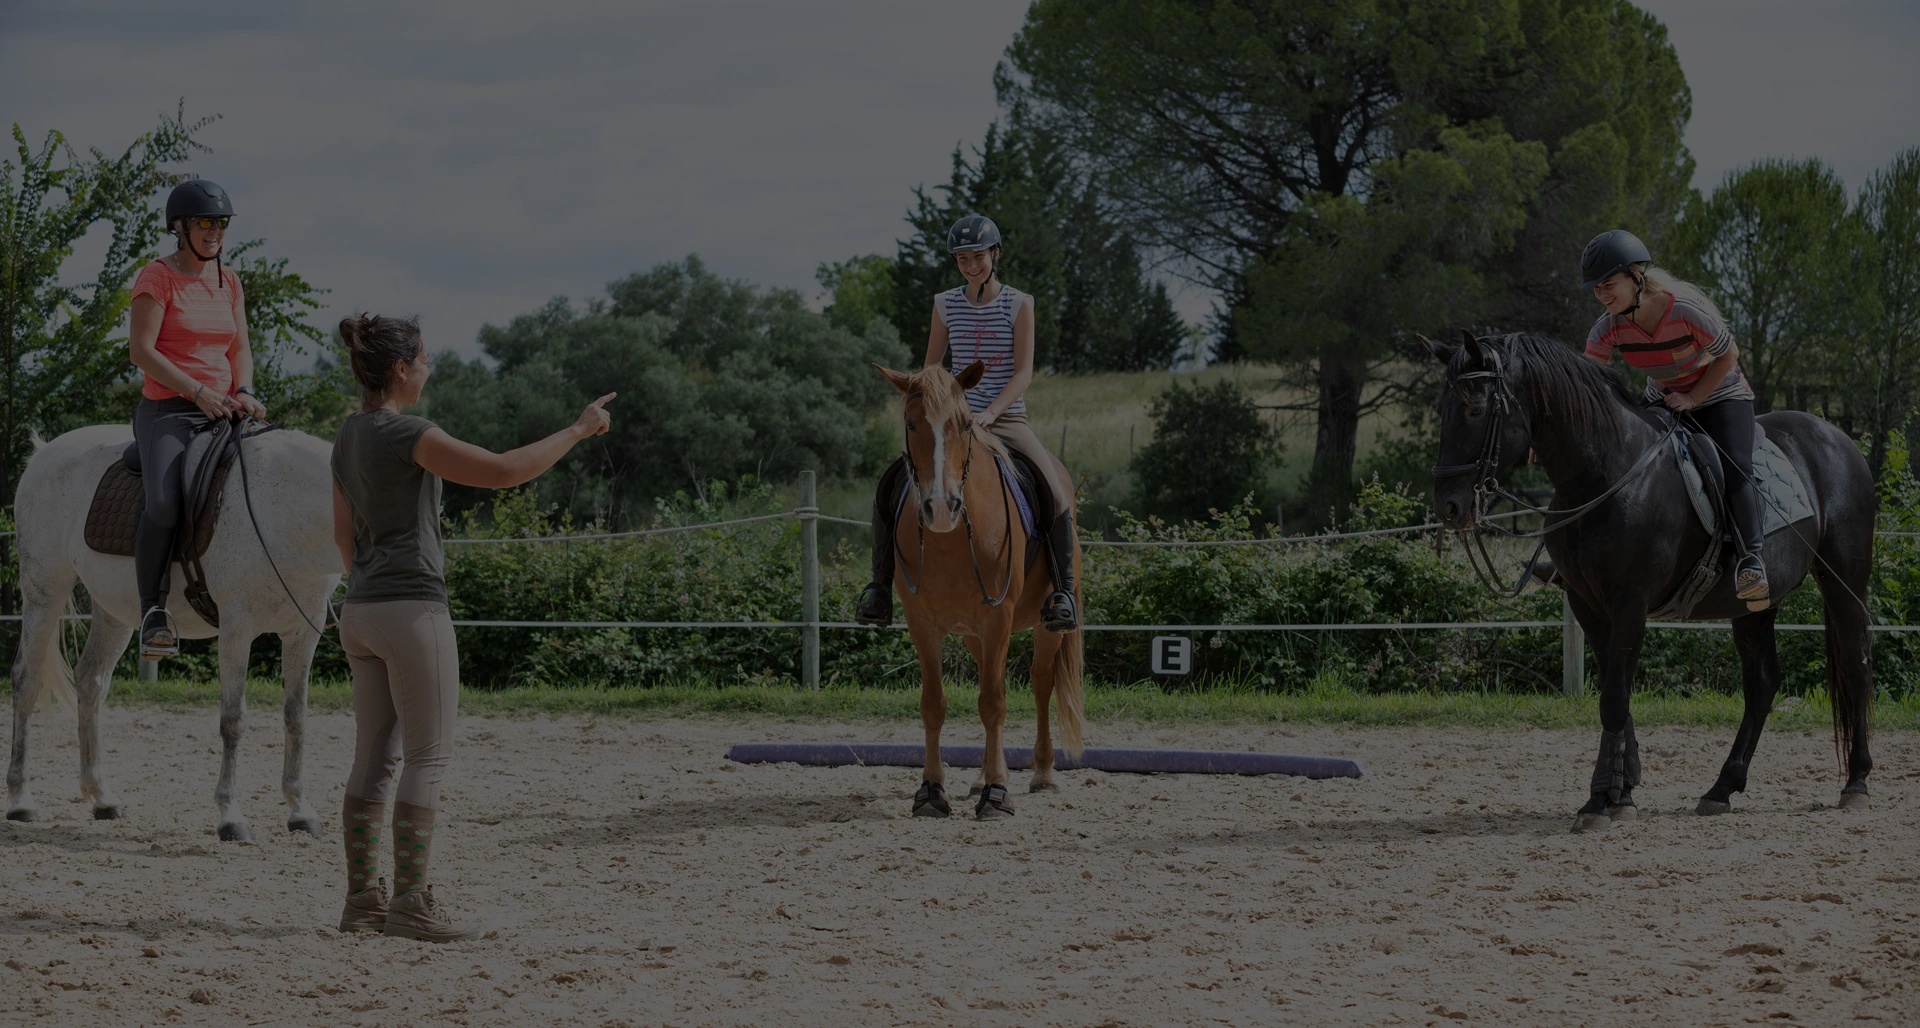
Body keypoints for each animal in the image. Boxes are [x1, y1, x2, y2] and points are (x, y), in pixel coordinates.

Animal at [8, 422, 337, 841]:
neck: (284, 510)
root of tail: (44, 452)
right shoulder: (237, 629)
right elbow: (233, 720)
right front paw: (230, 817)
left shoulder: (302, 632)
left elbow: (296, 717)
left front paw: (300, 811)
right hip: (43, 593)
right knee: (27, 681)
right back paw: (21, 801)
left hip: (114, 611)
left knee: (90, 682)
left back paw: (102, 799)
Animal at [875, 361, 1082, 822]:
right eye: (911, 424)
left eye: (966, 424)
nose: (940, 508)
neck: (950, 540)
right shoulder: (923, 623)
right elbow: (934, 704)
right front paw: (932, 791)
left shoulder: (998, 616)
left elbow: (994, 703)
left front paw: (998, 794)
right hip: (973, 634)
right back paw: (981, 776)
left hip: (1044, 625)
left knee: (1040, 683)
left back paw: (1042, 773)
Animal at [1428, 334, 1873, 833]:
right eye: (1442, 409)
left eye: (1474, 409)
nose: (1448, 506)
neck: (1606, 474)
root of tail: (1839, 440)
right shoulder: (1587, 604)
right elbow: (1613, 693)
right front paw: (1620, 789)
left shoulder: (1630, 602)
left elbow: (1614, 697)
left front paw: (1601, 801)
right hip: (1753, 606)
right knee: (1762, 684)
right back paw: (1721, 788)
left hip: (1844, 583)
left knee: (1856, 667)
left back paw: (1856, 783)